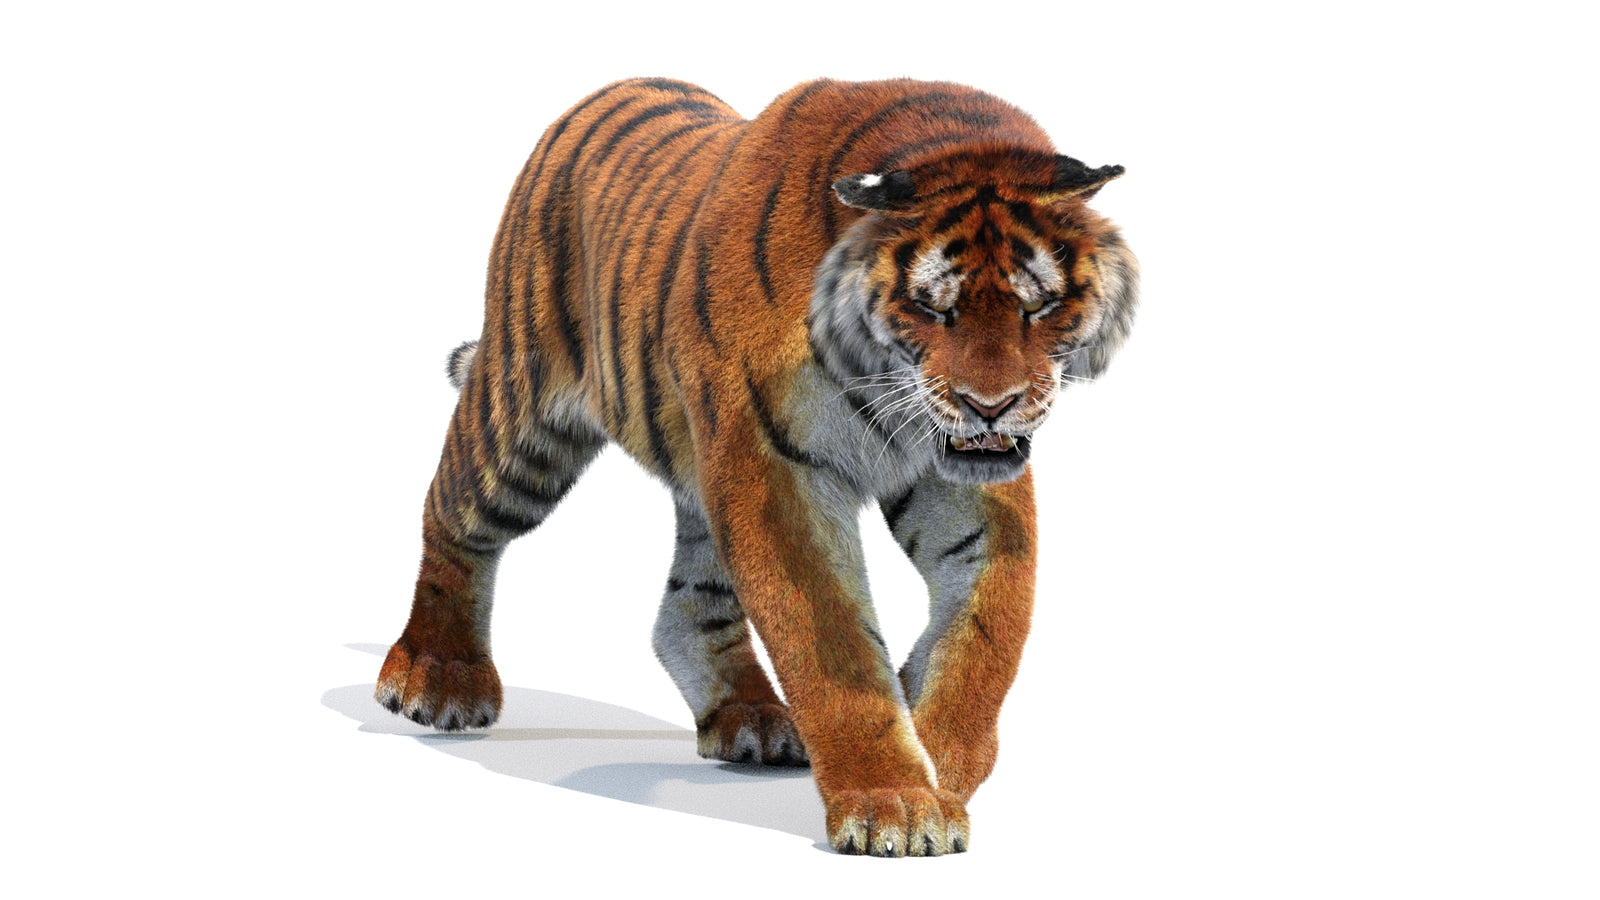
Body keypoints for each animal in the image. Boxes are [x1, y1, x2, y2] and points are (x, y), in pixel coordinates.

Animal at [375, 77, 1138, 857]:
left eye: (1039, 306)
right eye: (932, 308)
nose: (992, 406)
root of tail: (604, 92)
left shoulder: (958, 482)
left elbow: (991, 628)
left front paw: (940, 763)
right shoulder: (777, 473)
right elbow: (831, 642)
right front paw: (894, 803)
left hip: (705, 472)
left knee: (689, 606)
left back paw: (752, 720)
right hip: (523, 420)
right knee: (452, 517)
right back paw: (439, 679)